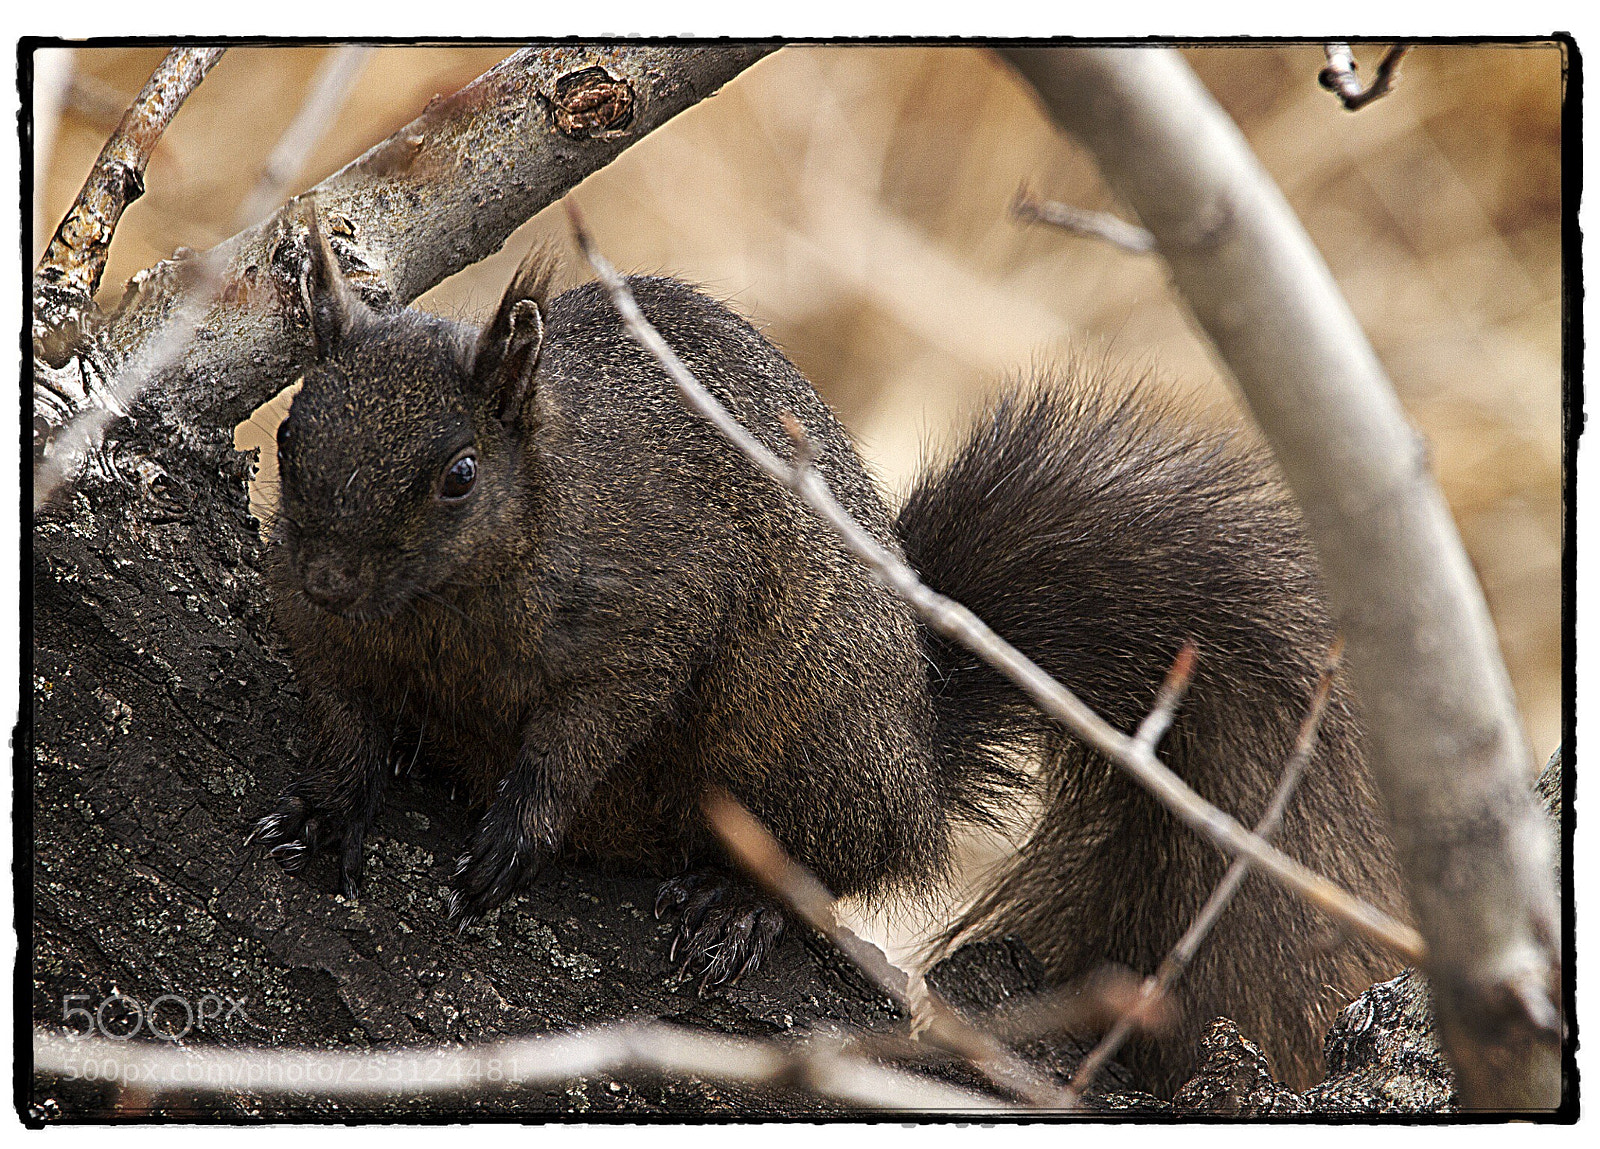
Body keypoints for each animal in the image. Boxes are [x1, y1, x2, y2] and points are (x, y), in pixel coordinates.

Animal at [251, 216, 1406, 1097]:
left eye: (457, 474)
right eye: (286, 439)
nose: (329, 577)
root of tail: (918, 758)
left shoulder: (648, 611)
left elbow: (586, 728)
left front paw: (518, 830)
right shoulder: (326, 637)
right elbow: (341, 715)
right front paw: (325, 808)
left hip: (800, 729)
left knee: (845, 857)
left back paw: (740, 904)